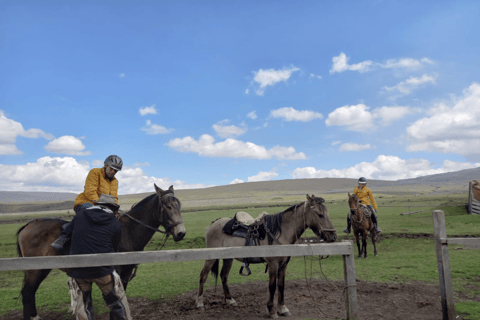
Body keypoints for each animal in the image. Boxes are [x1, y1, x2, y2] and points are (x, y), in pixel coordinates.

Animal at [16, 185, 186, 320]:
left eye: (179, 205)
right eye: (167, 206)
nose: (181, 233)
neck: (128, 231)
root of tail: (28, 225)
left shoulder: (126, 272)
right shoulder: (115, 271)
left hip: (43, 269)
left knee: (31, 291)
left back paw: (35, 316)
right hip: (34, 270)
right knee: (27, 292)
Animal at [195, 194, 338, 318]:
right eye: (320, 215)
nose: (333, 237)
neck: (280, 232)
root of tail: (212, 224)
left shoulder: (283, 264)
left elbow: (281, 285)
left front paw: (282, 308)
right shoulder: (273, 264)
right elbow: (272, 286)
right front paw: (271, 310)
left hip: (228, 258)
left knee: (224, 276)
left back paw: (230, 300)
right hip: (211, 258)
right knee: (203, 275)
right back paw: (199, 303)